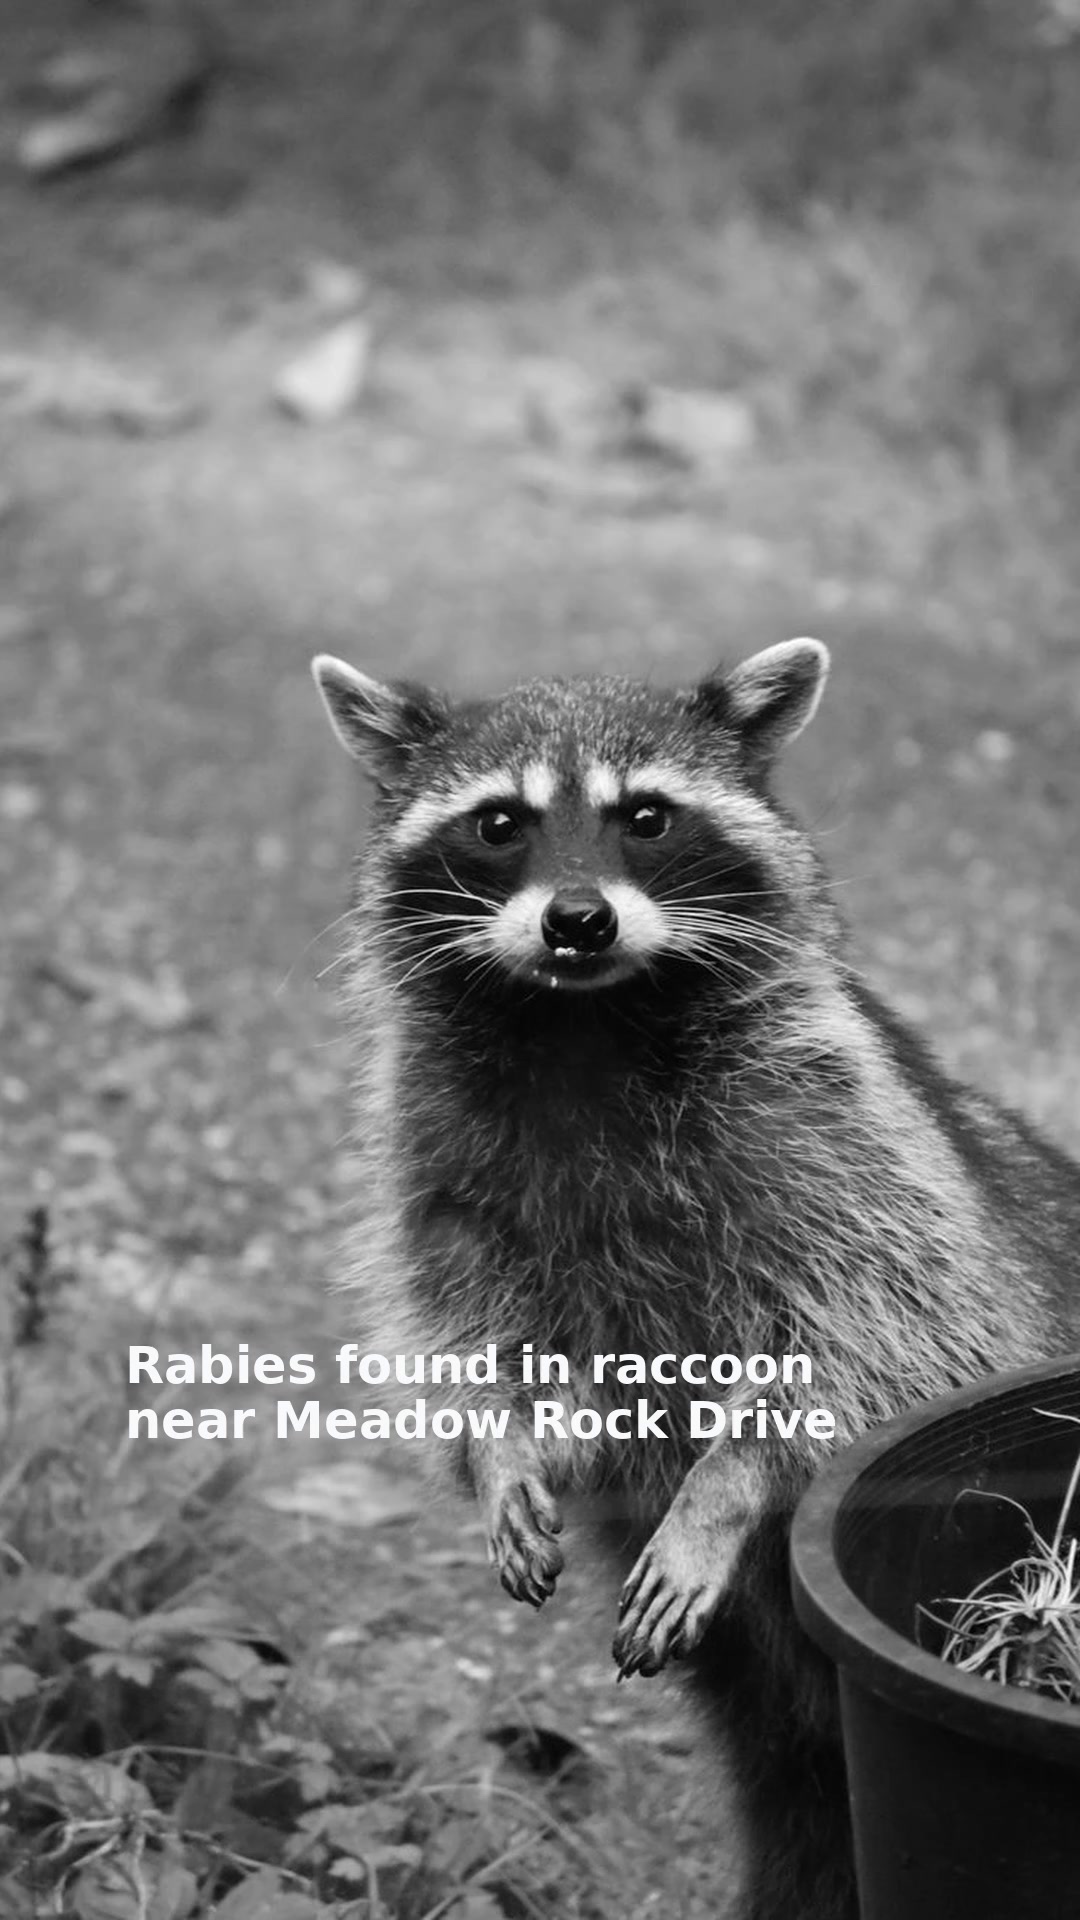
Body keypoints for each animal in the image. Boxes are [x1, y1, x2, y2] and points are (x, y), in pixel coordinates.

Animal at [311, 639, 1080, 1920]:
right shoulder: (446, 1167)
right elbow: (470, 1324)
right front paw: (505, 1440)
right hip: (771, 1710)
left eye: (647, 817)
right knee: (797, 1801)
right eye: (500, 823)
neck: (583, 1020)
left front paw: (726, 1484)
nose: (578, 921)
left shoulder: (847, 1146)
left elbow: (861, 1339)